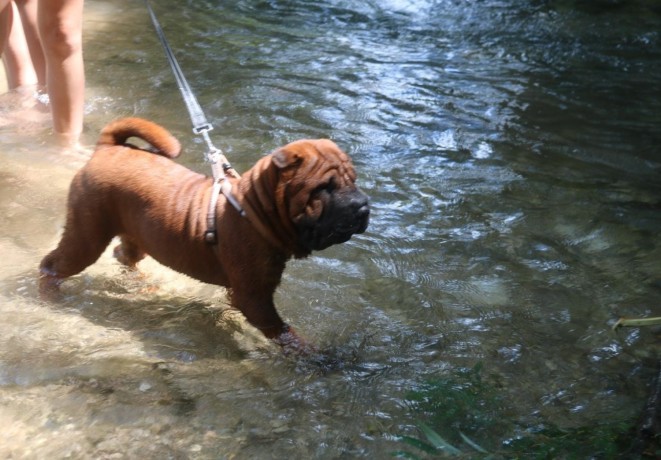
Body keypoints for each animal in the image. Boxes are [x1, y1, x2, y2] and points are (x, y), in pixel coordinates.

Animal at [38, 117, 368, 352]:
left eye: (353, 180)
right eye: (323, 188)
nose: (363, 205)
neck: (253, 210)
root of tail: (107, 149)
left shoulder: (244, 292)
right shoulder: (255, 298)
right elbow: (285, 333)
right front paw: (313, 355)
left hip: (135, 235)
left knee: (123, 254)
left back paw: (141, 284)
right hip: (87, 236)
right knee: (51, 265)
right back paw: (50, 296)